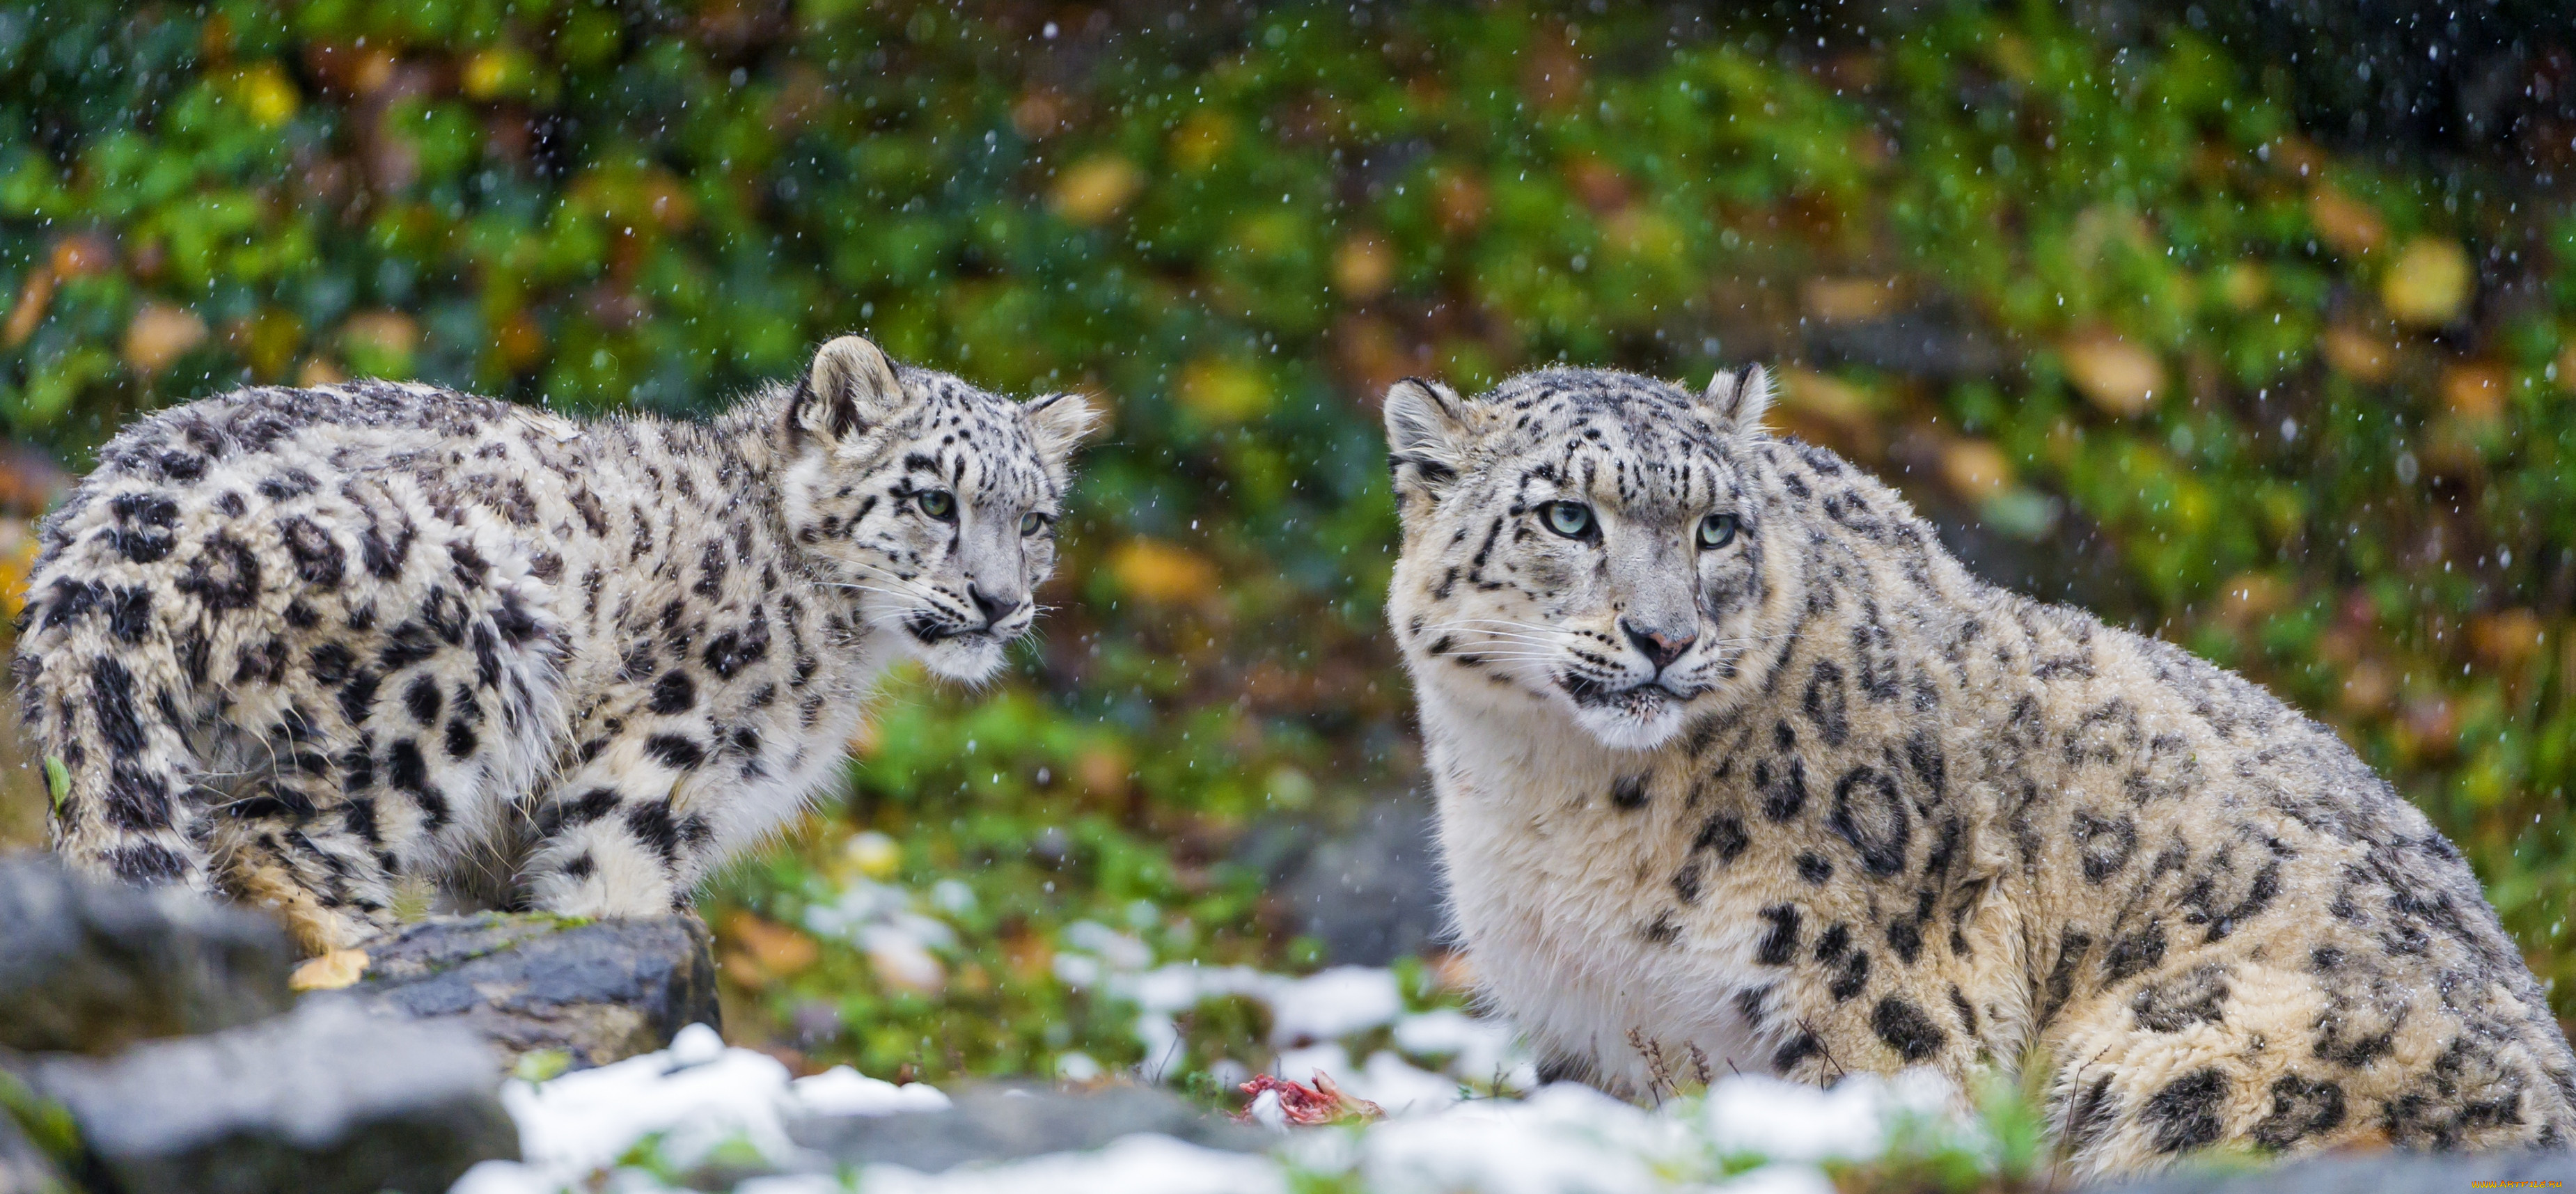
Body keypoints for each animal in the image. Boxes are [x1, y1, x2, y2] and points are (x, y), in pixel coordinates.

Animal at [17, 334, 1097, 952]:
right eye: (934, 498)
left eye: (1036, 518)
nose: (1001, 601)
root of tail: (99, 538)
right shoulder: (649, 767)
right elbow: (612, 889)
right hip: (453, 675)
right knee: (275, 842)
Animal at [1391, 365, 2576, 1173]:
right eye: (1566, 515)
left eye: (1716, 527)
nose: (1665, 636)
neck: (1558, 804)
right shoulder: (1589, 1039)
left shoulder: (1870, 999)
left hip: (2182, 1046)